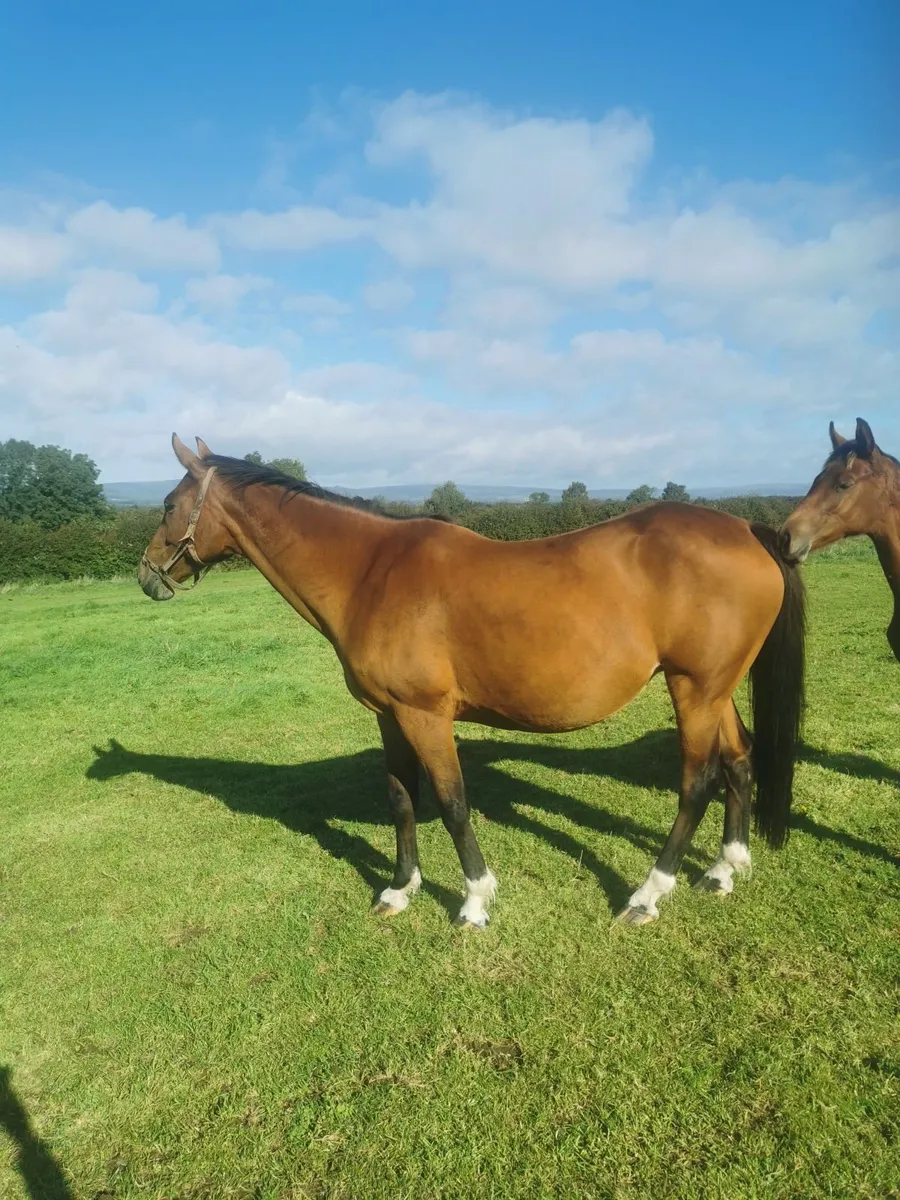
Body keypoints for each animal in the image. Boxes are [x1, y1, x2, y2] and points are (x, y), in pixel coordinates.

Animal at [137, 434, 805, 930]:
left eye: (169, 504)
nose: (146, 575)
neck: (370, 572)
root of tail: (749, 531)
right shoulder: (390, 716)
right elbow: (402, 798)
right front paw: (398, 890)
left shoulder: (426, 715)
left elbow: (453, 802)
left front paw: (475, 901)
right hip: (714, 688)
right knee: (740, 761)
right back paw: (723, 870)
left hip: (694, 689)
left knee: (697, 783)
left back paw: (647, 895)